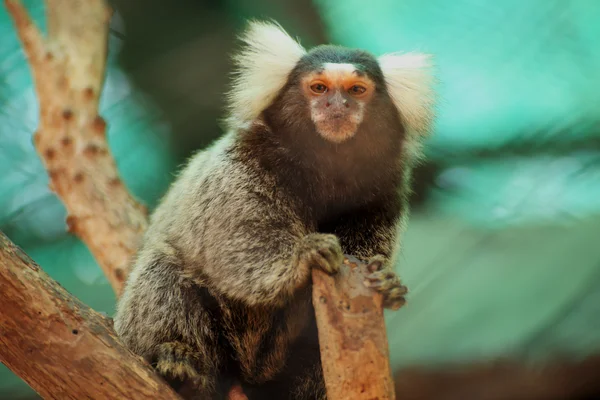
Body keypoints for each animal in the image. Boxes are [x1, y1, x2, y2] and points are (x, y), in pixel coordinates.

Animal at [112, 19, 434, 400]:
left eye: (357, 90)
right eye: (319, 87)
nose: (337, 106)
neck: (326, 168)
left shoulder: (384, 191)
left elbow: (365, 251)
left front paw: (387, 284)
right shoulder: (242, 161)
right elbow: (235, 243)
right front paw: (304, 256)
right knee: (164, 269)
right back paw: (181, 367)